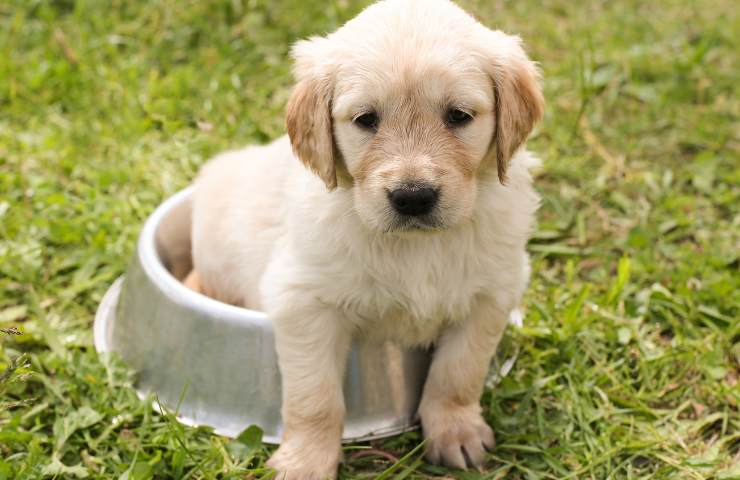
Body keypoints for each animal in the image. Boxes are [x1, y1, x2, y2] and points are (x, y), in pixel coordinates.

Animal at [191, 0, 544, 476]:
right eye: (366, 120)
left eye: (458, 116)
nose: (413, 197)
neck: (418, 246)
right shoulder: (303, 300)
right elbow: (315, 397)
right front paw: (305, 462)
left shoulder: (492, 293)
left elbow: (458, 372)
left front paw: (456, 432)